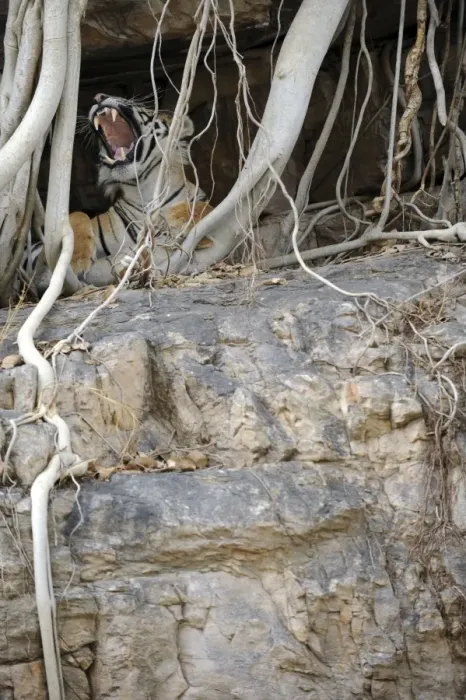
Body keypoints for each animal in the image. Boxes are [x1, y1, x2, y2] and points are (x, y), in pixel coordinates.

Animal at [29, 93, 213, 296]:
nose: (98, 96)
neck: (144, 191)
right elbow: (78, 215)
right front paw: (76, 260)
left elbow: (202, 208)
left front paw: (175, 217)